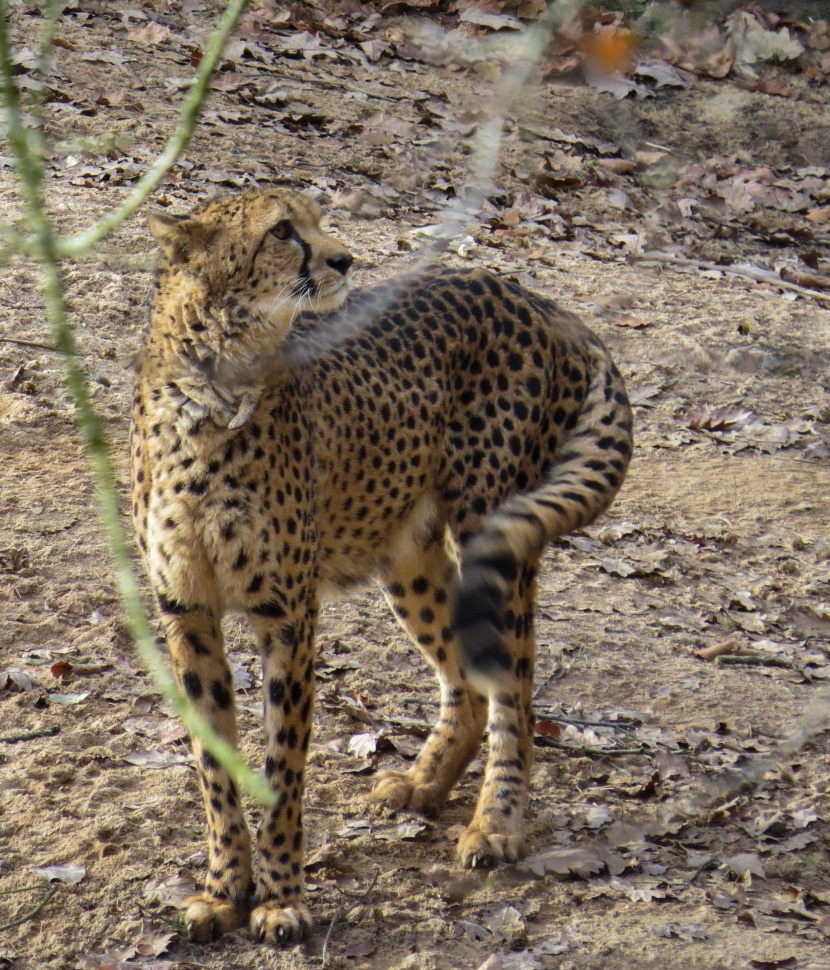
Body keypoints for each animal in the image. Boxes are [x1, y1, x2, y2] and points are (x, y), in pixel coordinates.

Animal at [132, 185, 636, 940]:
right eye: (282, 231)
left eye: (316, 220)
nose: (344, 259)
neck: (220, 384)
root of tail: (529, 295)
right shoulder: (186, 611)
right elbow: (214, 765)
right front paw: (224, 890)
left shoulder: (288, 614)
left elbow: (283, 763)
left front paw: (282, 897)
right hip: (407, 555)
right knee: (466, 677)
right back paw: (426, 782)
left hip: (493, 528)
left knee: (515, 688)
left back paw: (497, 824)